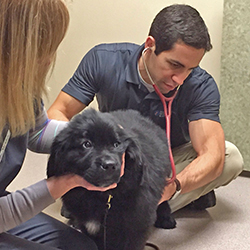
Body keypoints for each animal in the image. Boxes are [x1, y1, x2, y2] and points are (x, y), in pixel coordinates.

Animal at [47, 108, 176, 250]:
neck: (103, 197)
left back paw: (166, 218)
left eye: (116, 144)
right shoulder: (92, 228)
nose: (109, 165)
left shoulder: (136, 227)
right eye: (87, 144)